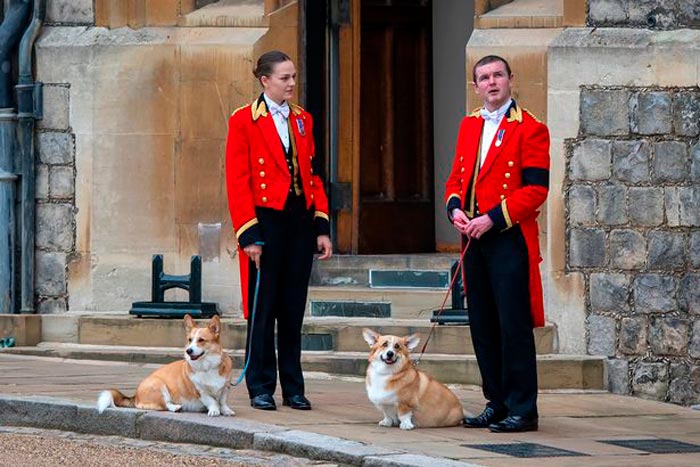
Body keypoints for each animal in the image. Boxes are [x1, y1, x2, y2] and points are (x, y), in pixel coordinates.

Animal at [95, 314, 235, 416]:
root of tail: (135, 397)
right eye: (190, 340)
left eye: (201, 340)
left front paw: (225, 410)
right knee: (165, 405)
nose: (188, 350)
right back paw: (175, 407)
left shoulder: (225, 388)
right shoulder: (200, 391)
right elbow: (212, 401)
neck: (207, 366)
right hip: (159, 386)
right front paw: (214, 410)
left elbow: (222, 401)